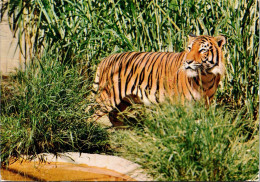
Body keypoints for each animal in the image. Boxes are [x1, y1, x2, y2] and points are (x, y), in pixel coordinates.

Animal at [93, 34, 225, 126]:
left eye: (202, 50)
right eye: (189, 48)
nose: (188, 62)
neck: (206, 76)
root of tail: (106, 59)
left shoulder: (205, 104)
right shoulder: (185, 104)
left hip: (125, 100)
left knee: (113, 114)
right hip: (108, 97)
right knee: (91, 112)